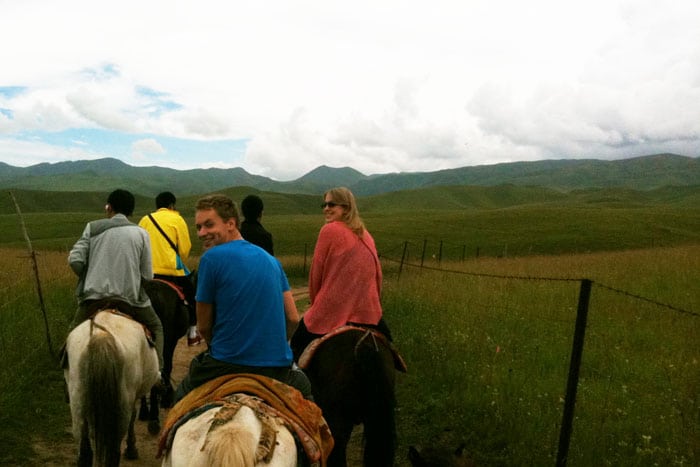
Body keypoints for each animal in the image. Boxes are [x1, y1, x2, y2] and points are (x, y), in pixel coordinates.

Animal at [63, 308, 160, 466]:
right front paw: (131, 449)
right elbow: (133, 416)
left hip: (78, 403)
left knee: (84, 452)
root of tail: (100, 335)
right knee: (113, 452)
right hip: (120, 409)